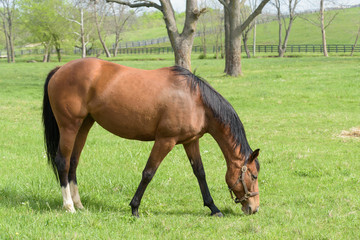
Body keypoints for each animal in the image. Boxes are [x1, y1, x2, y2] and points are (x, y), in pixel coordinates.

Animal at [42, 57, 260, 217]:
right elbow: (148, 173)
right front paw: (134, 208)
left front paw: (213, 208)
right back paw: (69, 206)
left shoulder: (191, 142)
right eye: (254, 175)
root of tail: (60, 69)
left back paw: (78, 204)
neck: (195, 100)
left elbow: (200, 173)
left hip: (84, 126)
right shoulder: (165, 141)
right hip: (69, 126)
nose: (254, 208)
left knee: (73, 162)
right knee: (63, 162)